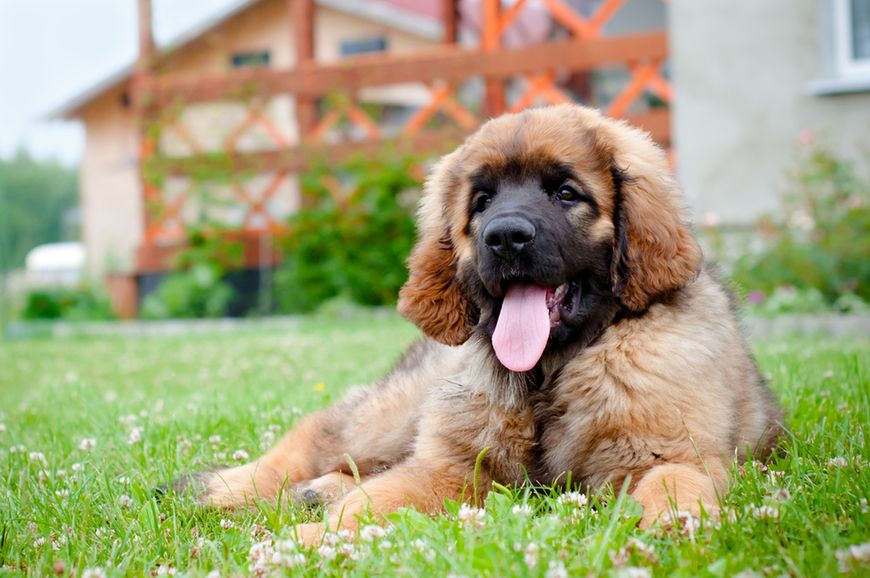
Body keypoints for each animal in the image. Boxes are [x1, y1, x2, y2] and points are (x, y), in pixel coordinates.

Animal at [182, 102, 784, 540]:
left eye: (566, 193)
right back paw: (222, 491)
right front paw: (311, 542)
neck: (549, 375)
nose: (506, 237)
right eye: (482, 201)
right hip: (391, 414)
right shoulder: (451, 466)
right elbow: (377, 500)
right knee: (314, 440)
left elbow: (676, 483)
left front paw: (673, 528)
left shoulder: (673, 452)